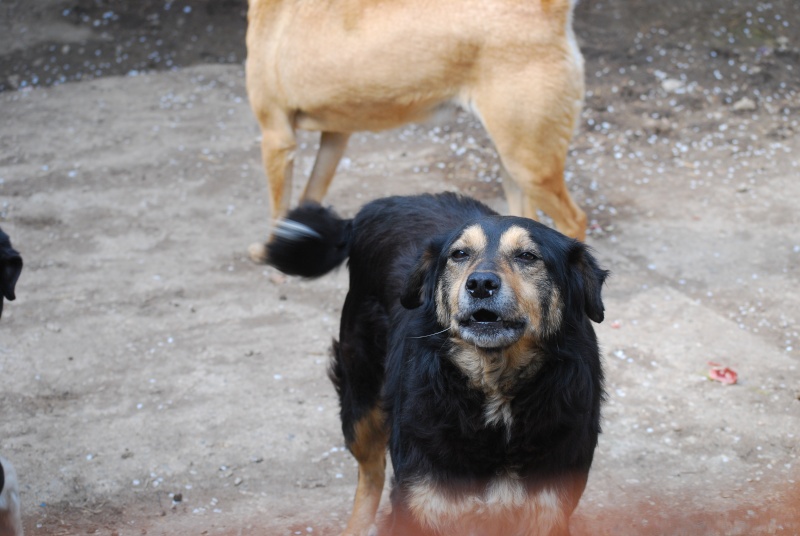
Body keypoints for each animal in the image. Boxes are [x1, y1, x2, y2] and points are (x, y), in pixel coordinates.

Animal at [248, 0, 588, 262]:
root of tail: (548, 10)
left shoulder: (277, 138)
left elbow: (278, 209)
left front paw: (272, 252)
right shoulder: (336, 134)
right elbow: (309, 195)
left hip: (531, 166)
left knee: (575, 221)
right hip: (514, 162)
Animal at [268, 194, 608, 536]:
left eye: (527, 256)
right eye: (459, 254)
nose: (480, 284)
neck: (494, 389)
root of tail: (376, 207)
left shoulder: (548, 506)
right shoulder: (420, 501)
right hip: (361, 398)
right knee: (370, 474)